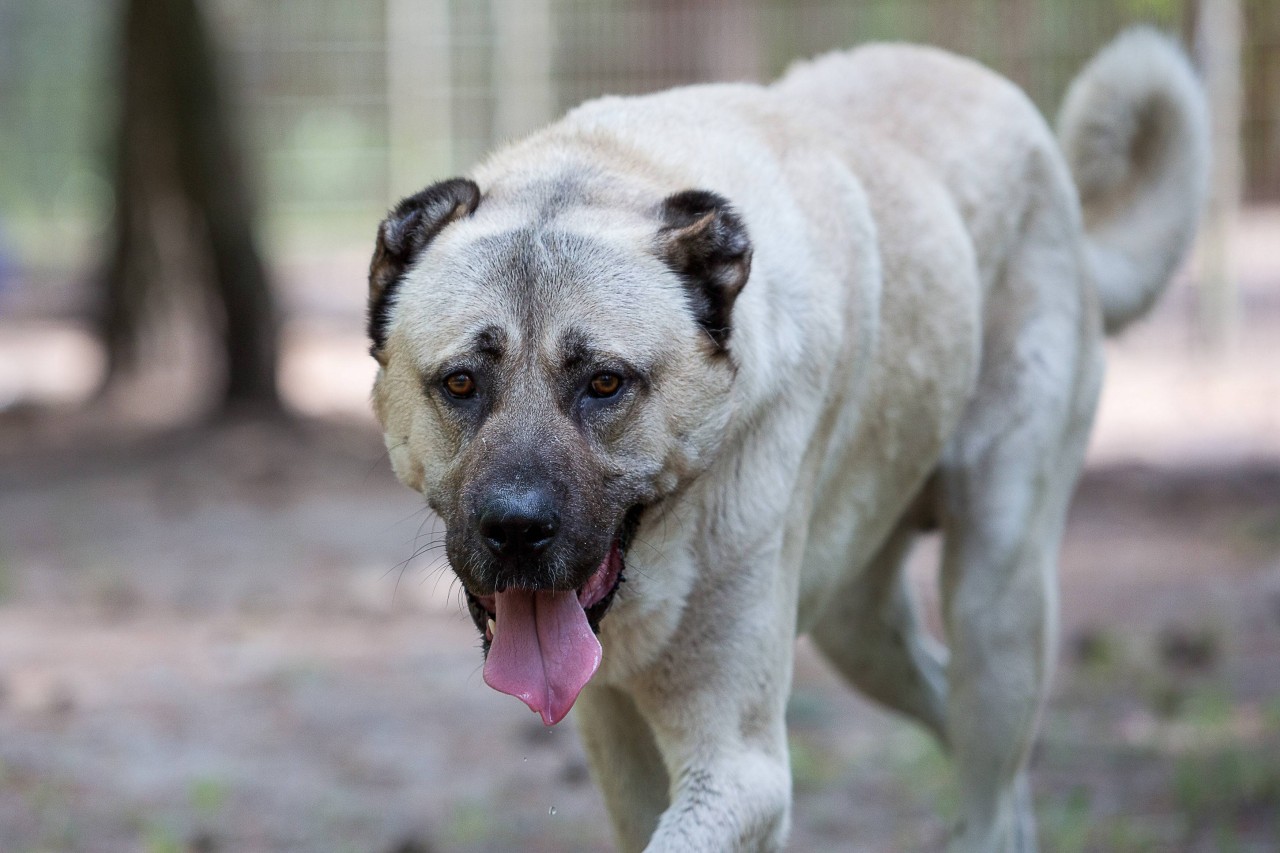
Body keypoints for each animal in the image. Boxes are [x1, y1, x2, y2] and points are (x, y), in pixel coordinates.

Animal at [366, 28, 1203, 850]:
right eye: (461, 383)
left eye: (605, 382)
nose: (516, 528)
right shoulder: (616, 737)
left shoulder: (743, 768)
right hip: (859, 628)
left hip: (997, 603)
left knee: (989, 788)